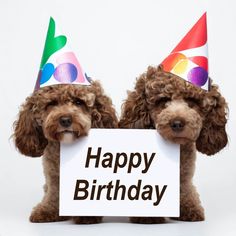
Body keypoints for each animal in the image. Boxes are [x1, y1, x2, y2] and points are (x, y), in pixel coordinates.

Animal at [14, 81, 118, 223]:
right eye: (51, 103)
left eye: (79, 102)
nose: (65, 120)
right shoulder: (52, 174)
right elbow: (54, 193)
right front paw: (49, 210)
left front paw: (87, 214)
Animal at [120, 65, 227, 224]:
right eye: (163, 100)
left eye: (191, 101)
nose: (177, 123)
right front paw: (147, 216)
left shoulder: (184, 176)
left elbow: (185, 190)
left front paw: (188, 209)